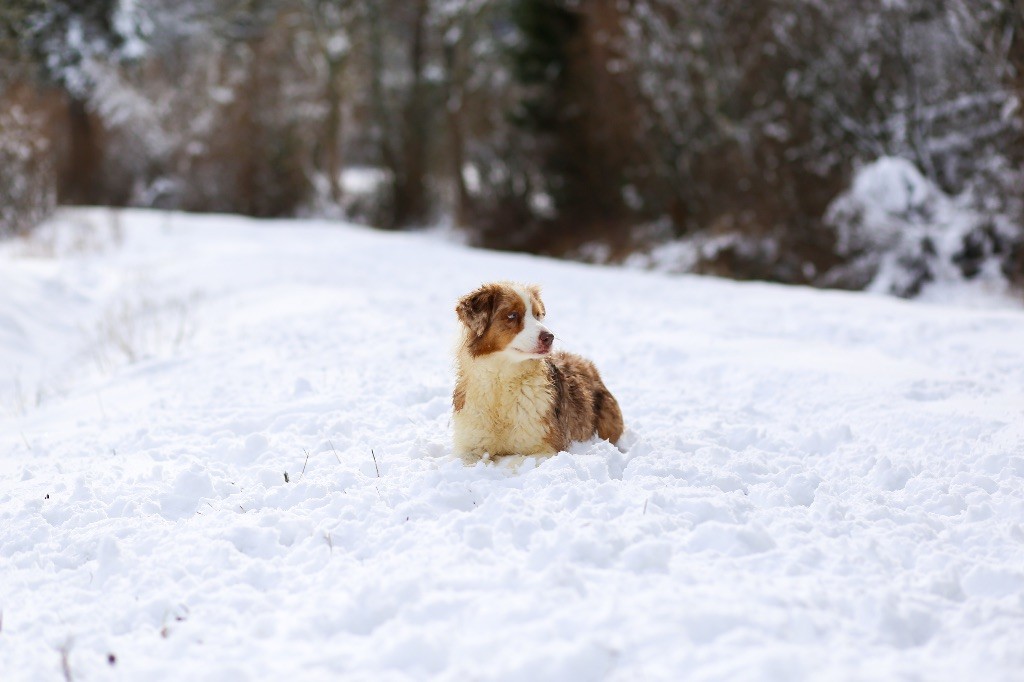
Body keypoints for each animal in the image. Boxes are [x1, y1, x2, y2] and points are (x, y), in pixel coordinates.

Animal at [454, 278, 622, 458]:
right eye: (512, 315)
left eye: (538, 315)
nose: (549, 337)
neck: (502, 378)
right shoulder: (470, 447)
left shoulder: (546, 449)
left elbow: (512, 460)